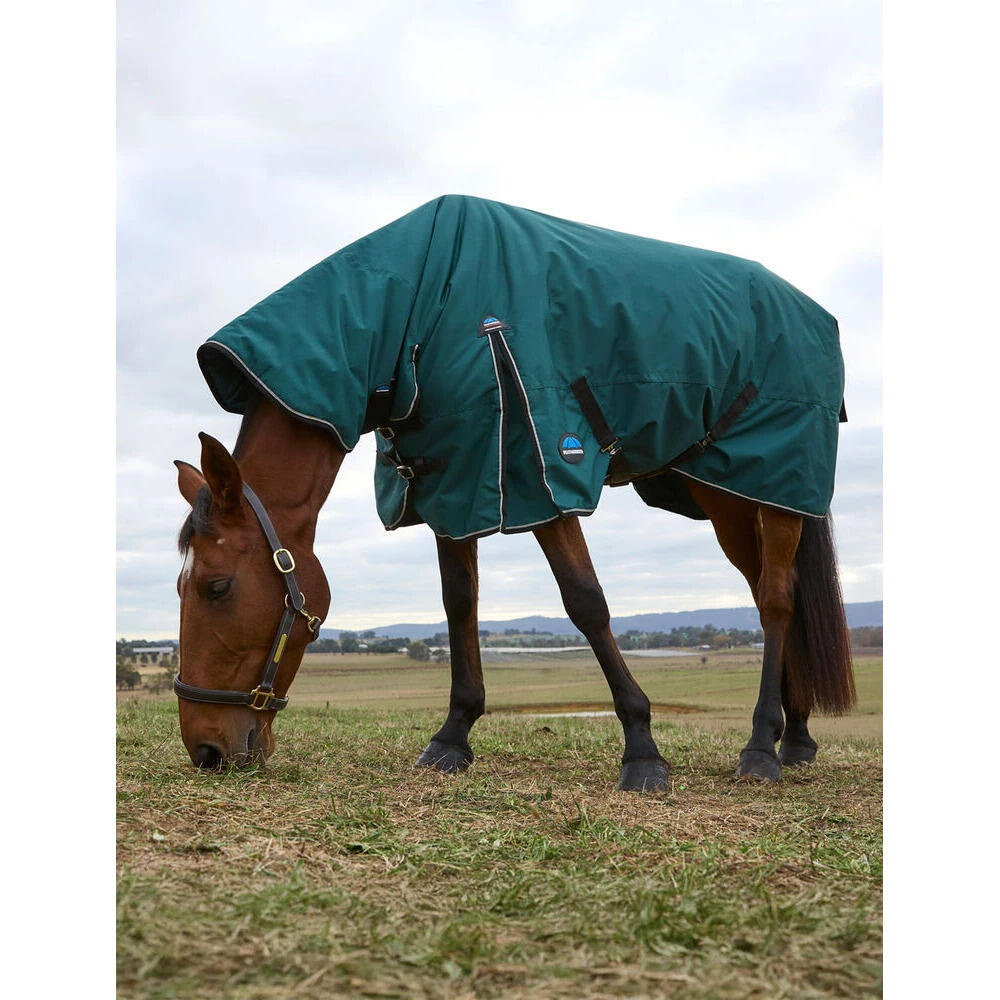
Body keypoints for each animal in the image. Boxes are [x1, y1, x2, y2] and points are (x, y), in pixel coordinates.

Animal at [172, 195, 855, 791]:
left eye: (216, 587)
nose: (205, 750)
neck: (418, 306)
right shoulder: (453, 485)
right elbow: (460, 605)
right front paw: (452, 736)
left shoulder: (539, 475)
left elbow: (585, 602)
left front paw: (642, 750)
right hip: (729, 493)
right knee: (773, 592)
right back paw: (794, 738)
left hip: (772, 485)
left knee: (776, 600)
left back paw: (760, 748)